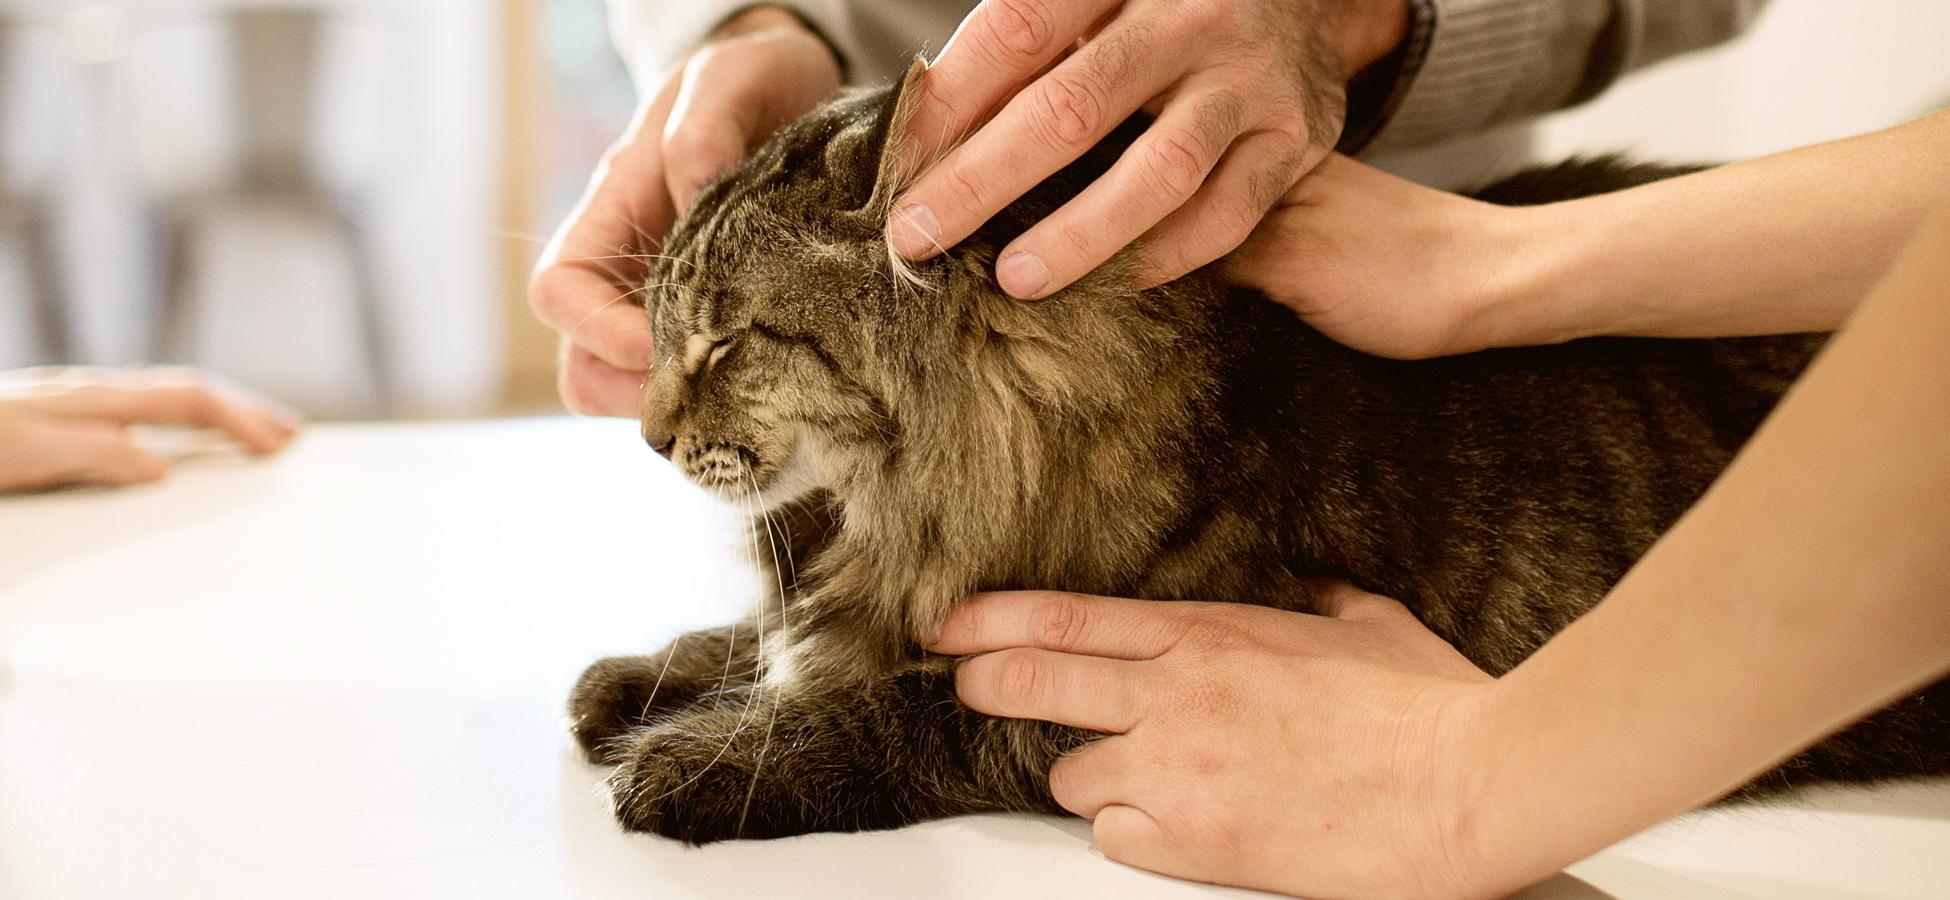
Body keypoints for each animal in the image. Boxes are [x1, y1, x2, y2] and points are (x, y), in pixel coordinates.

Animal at [569, 63, 1950, 845]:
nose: (648, 436)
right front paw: (638, 680)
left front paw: (695, 760)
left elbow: (898, 709)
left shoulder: (1099, 681)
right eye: (658, 334)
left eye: (727, 340)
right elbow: (755, 640)